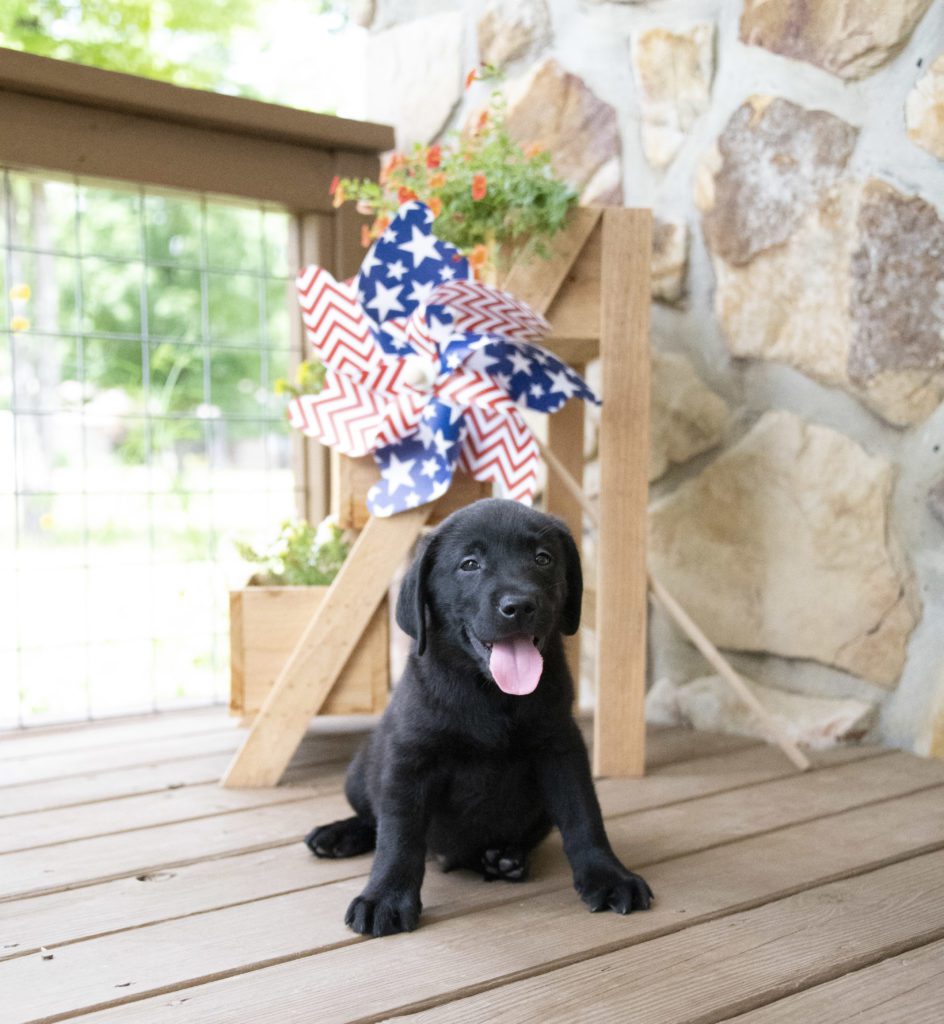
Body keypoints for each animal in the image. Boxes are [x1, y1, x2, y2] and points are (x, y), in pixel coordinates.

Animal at [305, 495, 651, 937]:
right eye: (470, 564)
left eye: (542, 558)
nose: (519, 606)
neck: (490, 693)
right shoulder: (410, 758)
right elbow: (398, 834)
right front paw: (385, 897)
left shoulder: (561, 747)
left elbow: (584, 816)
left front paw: (608, 876)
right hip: (358, 772)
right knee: (372, 818)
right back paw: (338, 835)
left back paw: (503, 857)